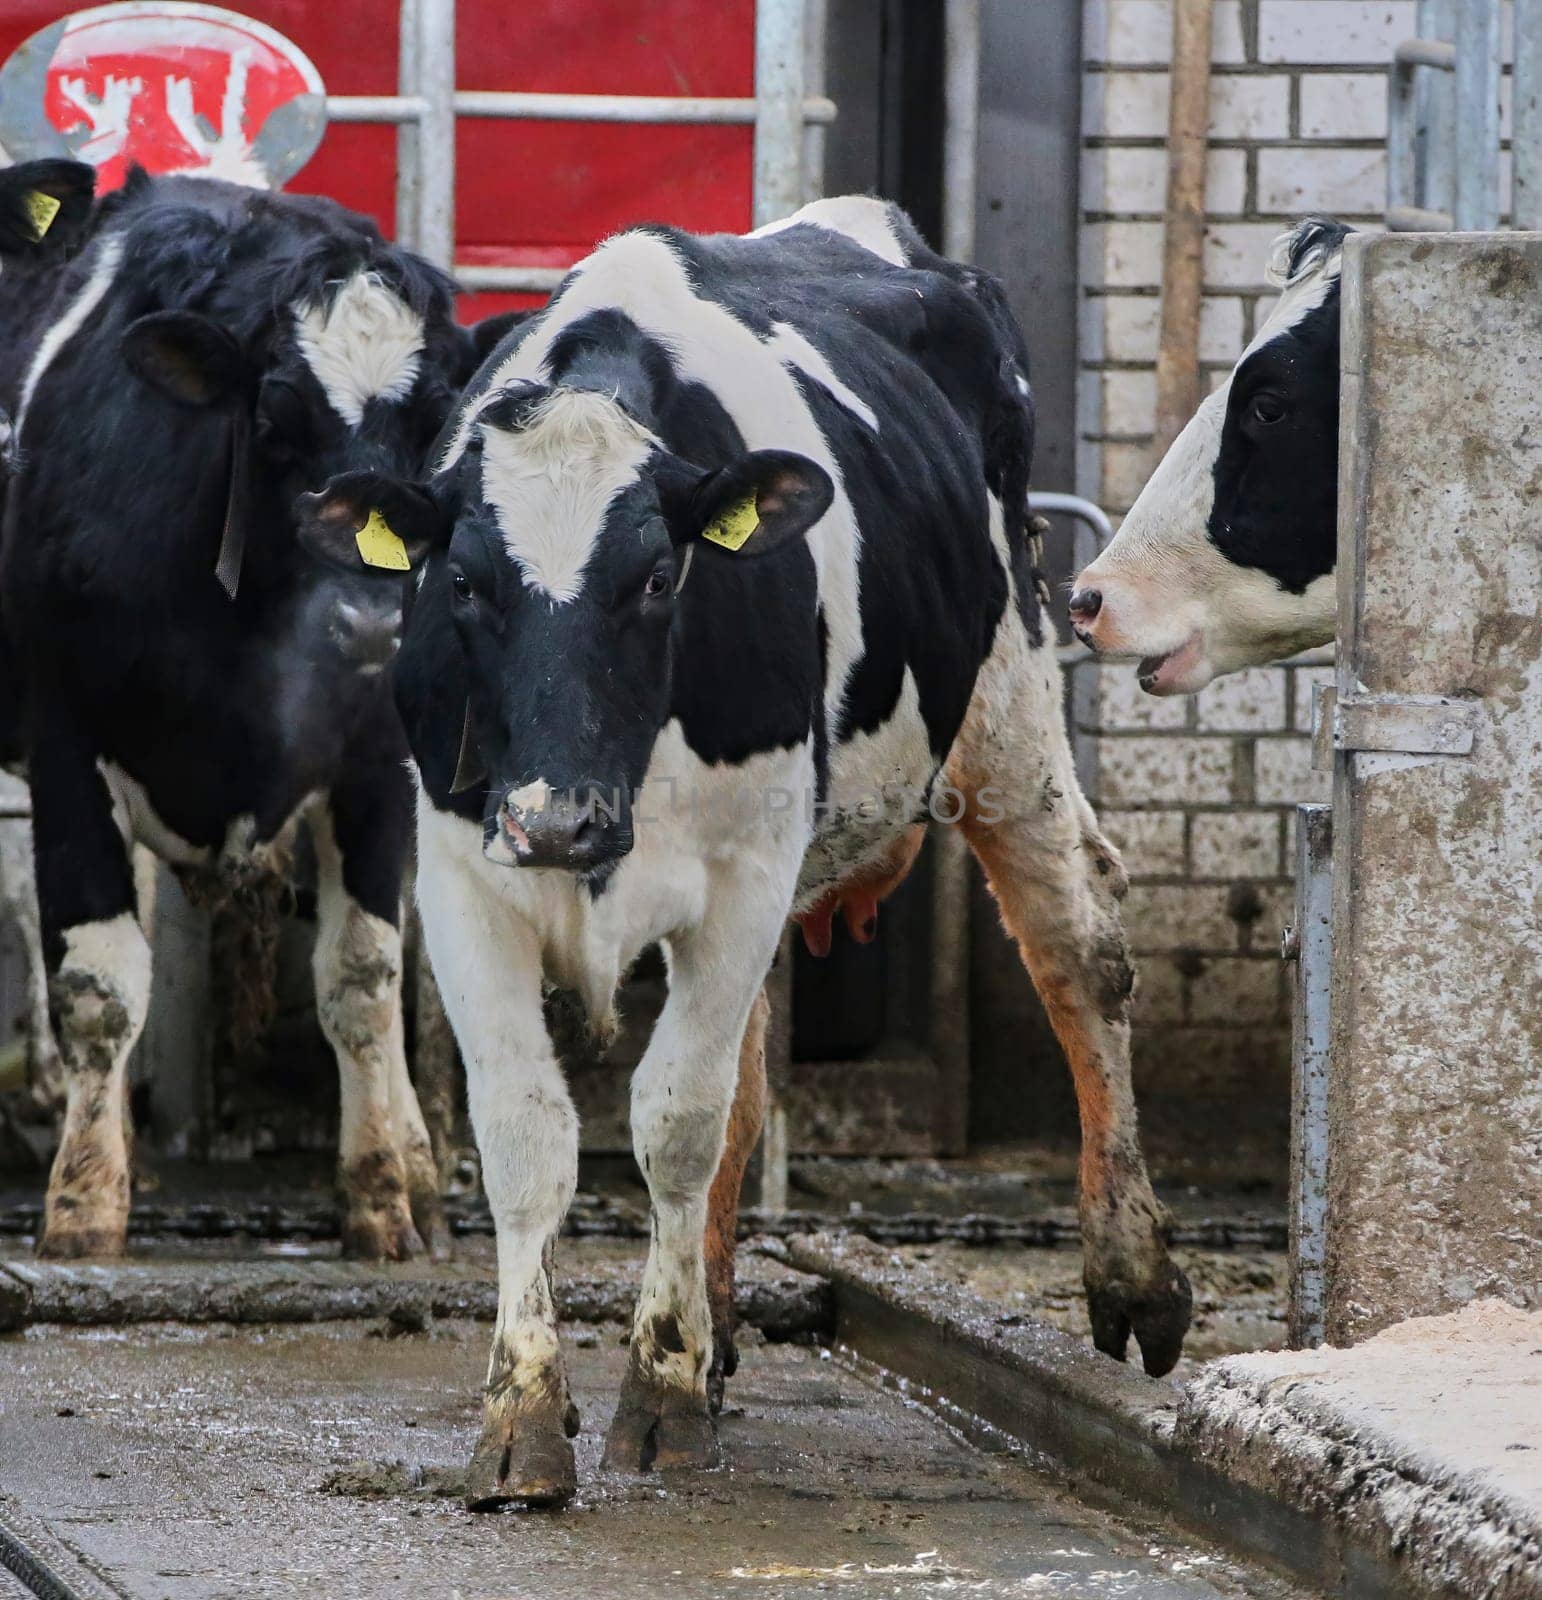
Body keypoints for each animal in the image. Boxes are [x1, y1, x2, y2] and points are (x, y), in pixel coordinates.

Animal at [0, 165, 483, 1260]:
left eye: (435, 429)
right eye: (273, 423)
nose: (369, 619)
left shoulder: (377, 760)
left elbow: (364, 976)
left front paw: (381, 1195)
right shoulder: (64, 742)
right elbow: (100, 984)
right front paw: (84, 1205)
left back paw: (422, 1166)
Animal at [300, 193, 1190, 1504]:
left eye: (659, 575)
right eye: (460, 582)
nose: (560, 819)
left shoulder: (742, 875)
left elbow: (675, 1119)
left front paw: (659, 1393)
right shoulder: (466, 873)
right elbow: (529, 1132)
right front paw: (526, 1411)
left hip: (1011, 692)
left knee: (1082, 953)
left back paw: (1132, 1272)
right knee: (753, 1076)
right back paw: (715, 1319)